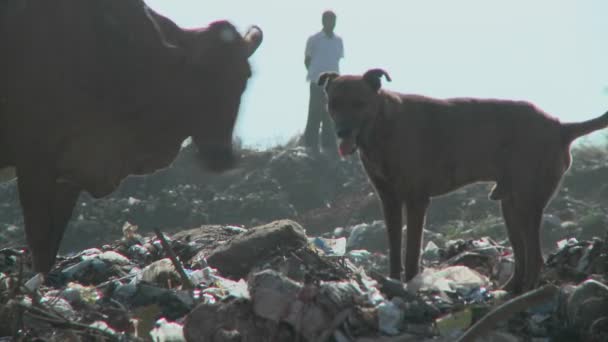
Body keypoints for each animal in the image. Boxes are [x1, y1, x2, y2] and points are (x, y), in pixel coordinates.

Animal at [1, 0, 264, 272]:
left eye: (245, 76)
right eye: (197, 72)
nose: (221, 156)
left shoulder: (72, 170)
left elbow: (49, 249)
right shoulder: (34, 160)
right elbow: (39, 241)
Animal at [318, 69, 608, 294]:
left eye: (358, 103)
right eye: (334, 103)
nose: (342, 132)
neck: (381, 124)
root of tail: (560, 126)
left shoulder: (416, 200)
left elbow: (412, 252)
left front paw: (410, 285)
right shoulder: (388, 199)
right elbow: (394, 246)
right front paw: (393, 282)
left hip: (528, 200)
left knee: (535, 256)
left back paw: (524, 294)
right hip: (511, 204)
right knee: (521, 253)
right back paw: (510, 290)